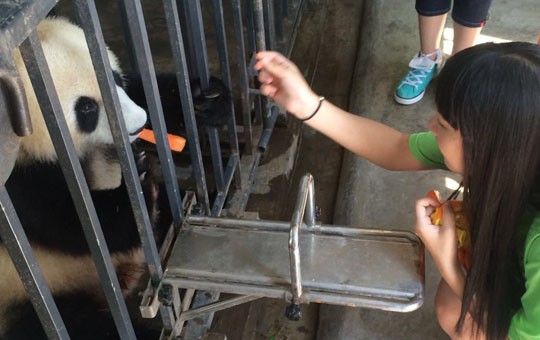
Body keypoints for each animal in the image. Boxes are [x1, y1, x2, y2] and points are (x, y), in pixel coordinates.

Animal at [1, 17, 165, 338]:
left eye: (114, 79)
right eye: (86, 107)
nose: (140, 123)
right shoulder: (15, 188)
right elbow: (80, 227)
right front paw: (140, 184)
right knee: (74, 324)